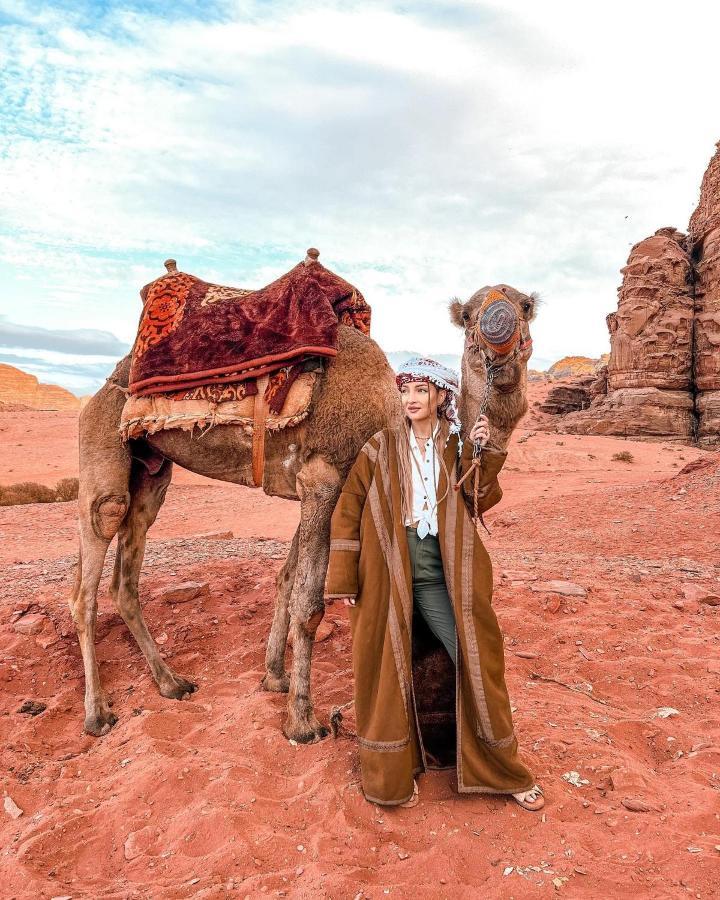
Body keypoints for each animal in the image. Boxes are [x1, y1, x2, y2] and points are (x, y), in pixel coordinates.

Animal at [70, 278, 536, 740]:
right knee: (91, 566)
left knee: (125, 575)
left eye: (527, 305)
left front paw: (275, 677)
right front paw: (302, 720)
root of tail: (103, 388)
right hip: (103, 444)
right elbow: (309, 604)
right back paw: (97, 714)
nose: (498, 322)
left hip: (150, 471)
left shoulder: (313, 488)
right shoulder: (323, 480)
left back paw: (171, 682)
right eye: (469, 314)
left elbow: (286, 580)